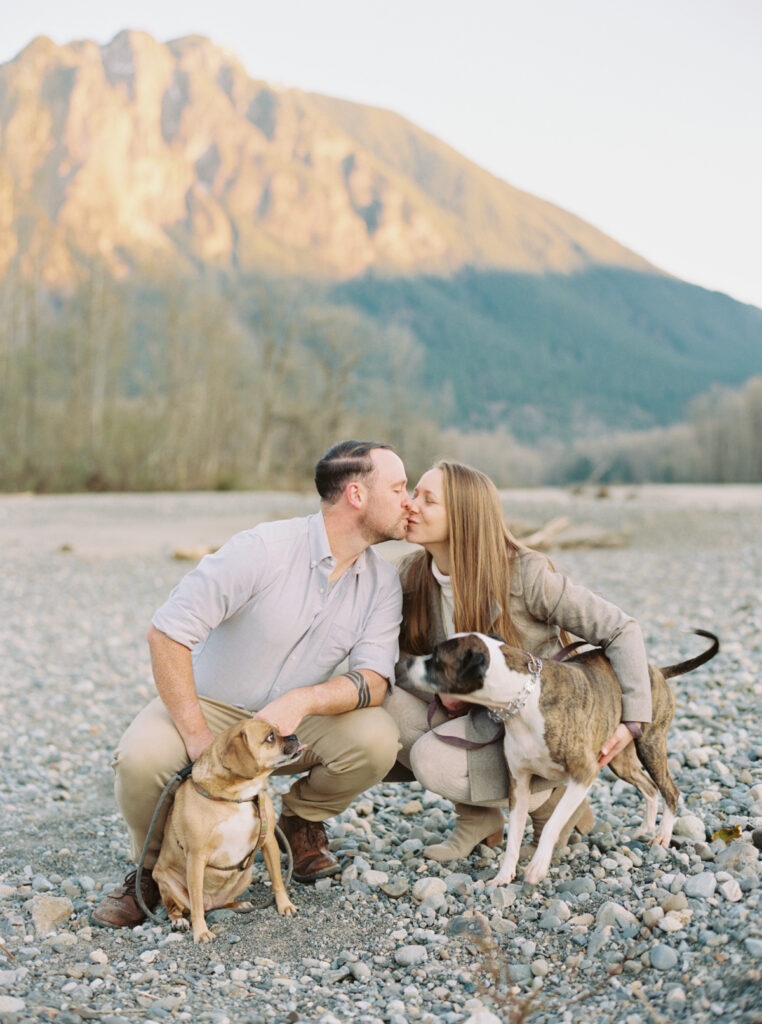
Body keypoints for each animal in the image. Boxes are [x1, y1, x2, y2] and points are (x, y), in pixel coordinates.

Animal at [151, 716, 301, 937]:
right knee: (177, 908)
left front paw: (285, 905)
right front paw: (201, 932)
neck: (237, 796)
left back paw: (238, 905)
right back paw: (179, 921)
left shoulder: (268, 842)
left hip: (245, 876)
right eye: (270, 737)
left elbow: (278, 881)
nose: (294, 736)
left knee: (223, 903)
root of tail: (212, 903)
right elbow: (196, 903)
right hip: (167, 882)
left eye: (278, 730)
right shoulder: (196, 857)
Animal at [407, 626, 716, 884]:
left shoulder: (583, 774)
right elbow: (514, 839)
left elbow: (553, 823)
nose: (407, 661)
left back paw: (662, 835)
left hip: (649, 745)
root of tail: (655, 670)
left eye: (436, 658)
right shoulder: (519, 787)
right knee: (650, 788)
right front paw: (504, 875)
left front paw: (538, 866)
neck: (522, 699)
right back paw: (646, 828)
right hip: (620, 759)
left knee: (670, 791)